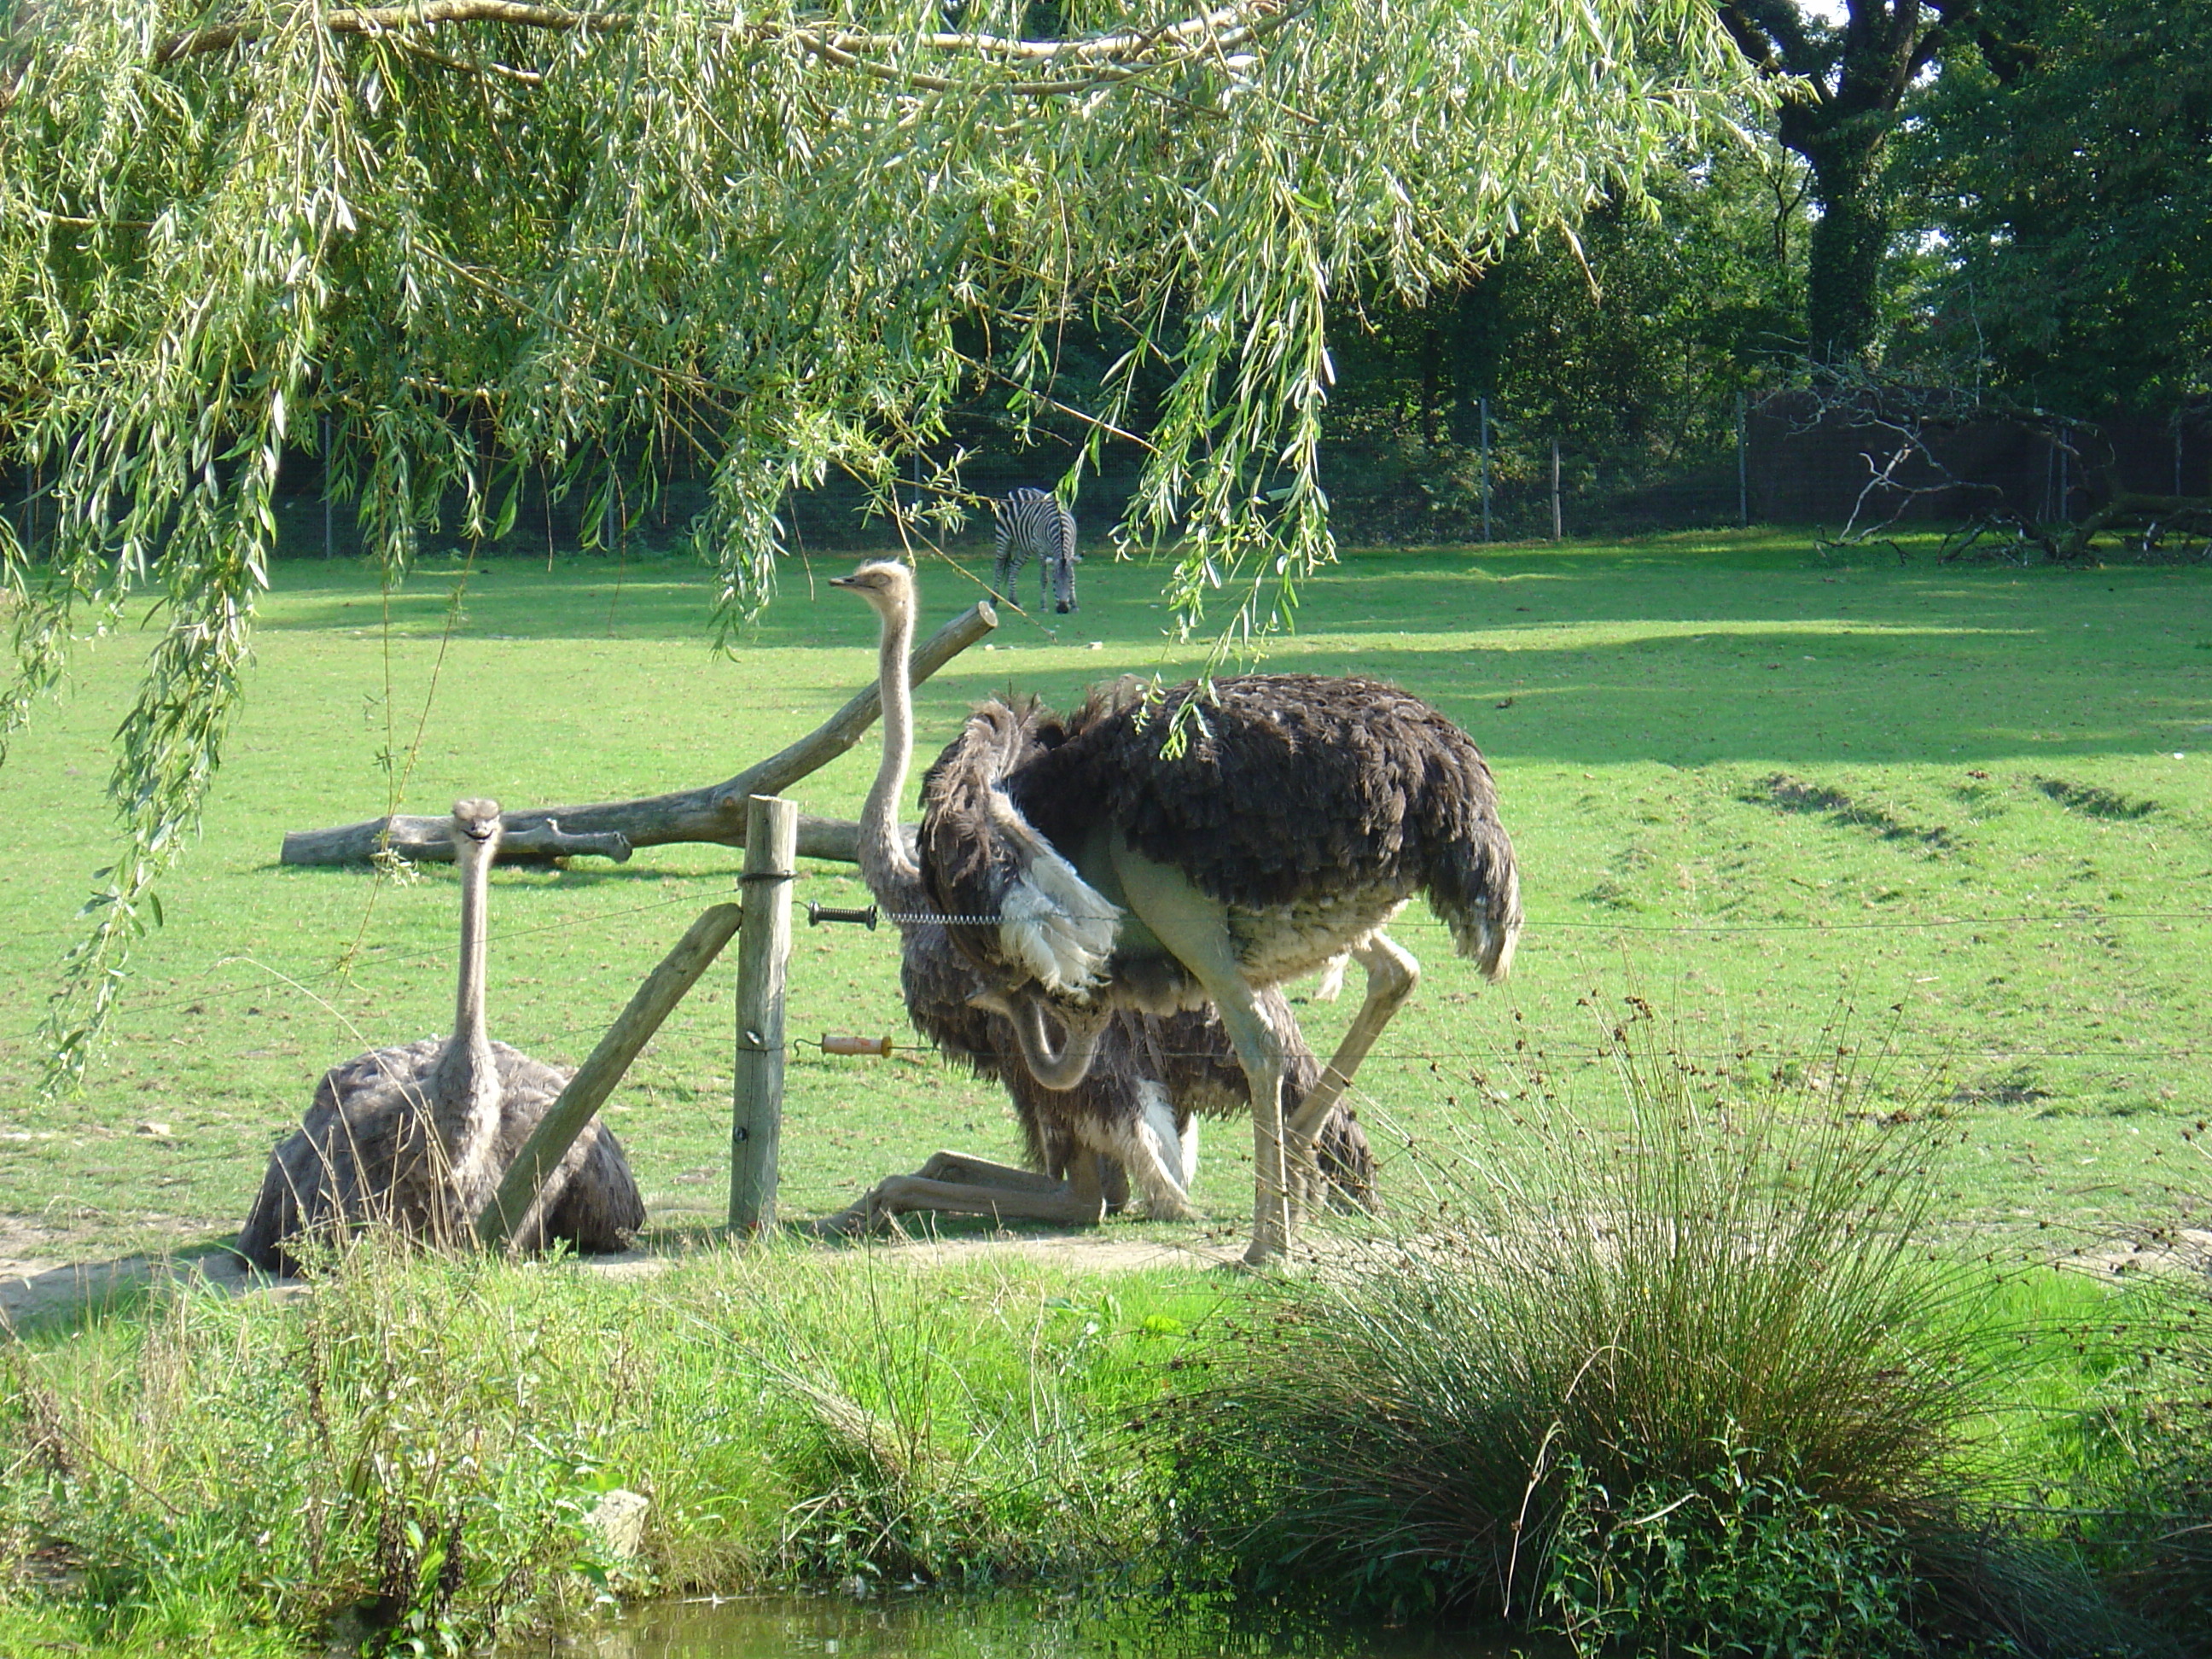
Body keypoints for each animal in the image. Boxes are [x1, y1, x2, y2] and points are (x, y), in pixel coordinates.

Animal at [995, 486, 1079, 619]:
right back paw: (993, 599)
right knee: (998, 567)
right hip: (1003, 537)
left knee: (1013, 567)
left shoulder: (1071, 548)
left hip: (1024, 548)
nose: (1063, 609)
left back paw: (1014, 601)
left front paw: (1074, 604)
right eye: (1054, 581)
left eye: (1069, 581)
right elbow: (1044, 578)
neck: (1060, 527)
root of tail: (1020, 489)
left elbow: (1073, 574)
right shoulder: (1042, 551)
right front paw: (1043, 606)